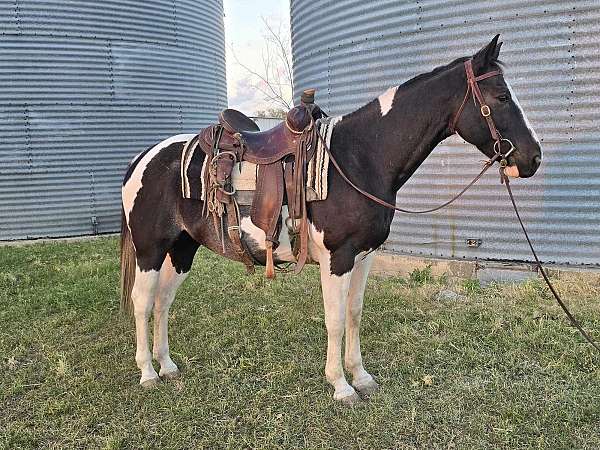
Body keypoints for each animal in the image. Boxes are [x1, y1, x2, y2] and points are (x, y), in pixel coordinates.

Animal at [119, 36, 540, 404]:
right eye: (502, 97)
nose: (533, 158)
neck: (361, 157)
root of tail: (143, 157)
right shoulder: (337, 259)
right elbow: (335, 320)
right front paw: (340, 385)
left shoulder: (365, 256)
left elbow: (354, 314)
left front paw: (361, 376)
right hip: (150, 249)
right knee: (142, 301)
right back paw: (147, 372)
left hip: (181, 249)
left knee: (162, 302)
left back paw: (167, 366)